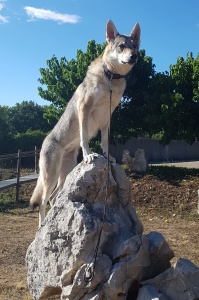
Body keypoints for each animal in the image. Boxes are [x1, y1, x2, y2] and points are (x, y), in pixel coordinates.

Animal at [30, 19, 141, 225]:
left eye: (135, 46)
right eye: (122, 46)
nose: (134, 56)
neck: (111, 78)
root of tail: (43, 142)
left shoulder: (108, 116)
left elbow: (105, 141)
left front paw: (107, 156)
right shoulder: (84, 108)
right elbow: (84, 137)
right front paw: (89, 155)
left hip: (64, 175)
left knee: (54, 199)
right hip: (51, 177)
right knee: (42, 202)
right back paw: (42, 225)